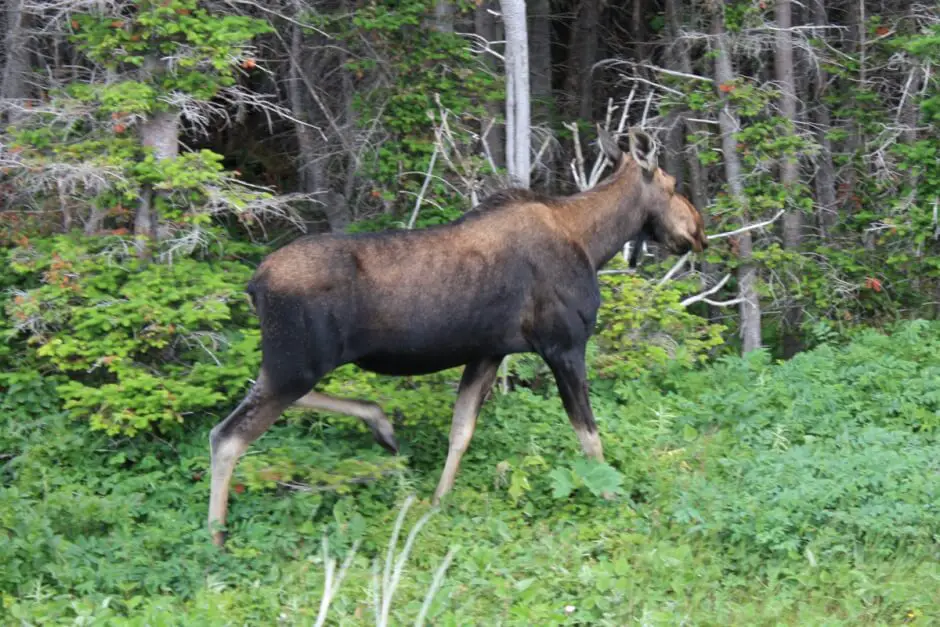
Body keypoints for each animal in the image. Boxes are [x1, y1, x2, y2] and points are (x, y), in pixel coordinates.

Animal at [206, 127, 704, 544]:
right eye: (673, 184)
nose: (698, 231)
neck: (593, 243)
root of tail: (254, 285)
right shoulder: (563, 345)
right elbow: (590, 436)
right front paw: (612, 500)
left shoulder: (487, 353)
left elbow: (461, 430)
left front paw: (437, 502)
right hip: (296, 362)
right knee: (226, 435)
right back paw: (215, 539)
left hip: (292, 362)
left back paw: (381, 424)